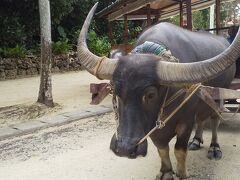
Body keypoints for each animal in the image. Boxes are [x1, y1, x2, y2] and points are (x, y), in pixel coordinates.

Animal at [79, 3, 240, 180]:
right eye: (115, 90)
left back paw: (214, 148)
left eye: (150, 95)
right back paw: (196, 141)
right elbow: (162, 149)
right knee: (201, 120)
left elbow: (179, 150)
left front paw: (182, 173)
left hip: (219, 97)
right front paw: (166, 171)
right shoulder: (153, 126)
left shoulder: (186, 120)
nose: (124, 148)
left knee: (214, 121)